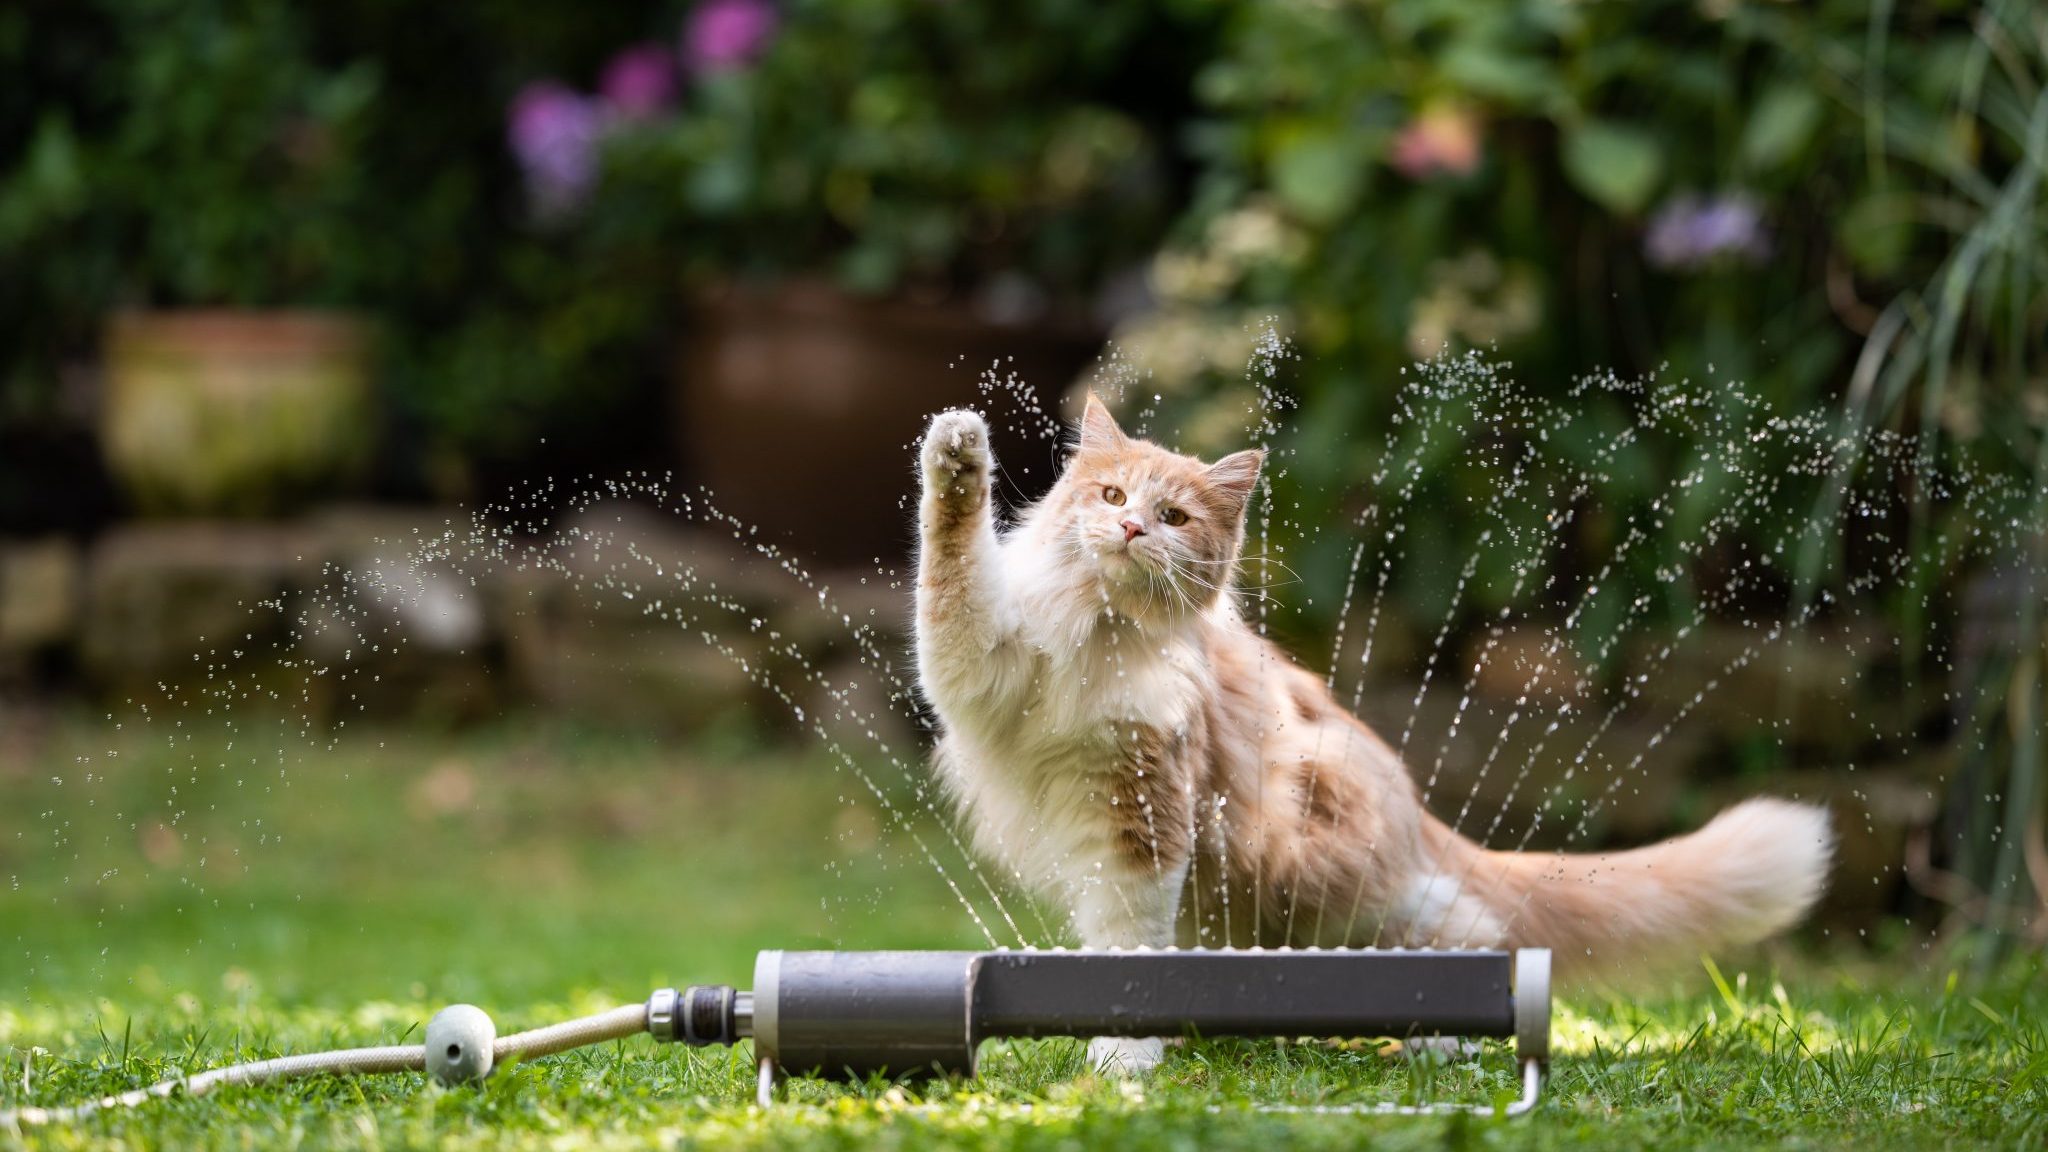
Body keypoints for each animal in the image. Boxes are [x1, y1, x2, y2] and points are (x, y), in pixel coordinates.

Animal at [913, 393, 1843, 1065]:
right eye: (1110, 496)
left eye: (1173, 518)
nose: (1133, 527)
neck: (1099, 633)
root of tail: (1414, 808)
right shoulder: (979, 665)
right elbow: (949, 568)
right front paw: (956, 456)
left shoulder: (1145, 817)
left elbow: (1129, 949)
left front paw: (1124, 1060)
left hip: (1324, 884)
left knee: (1472, 929)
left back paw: (1447, 1040)